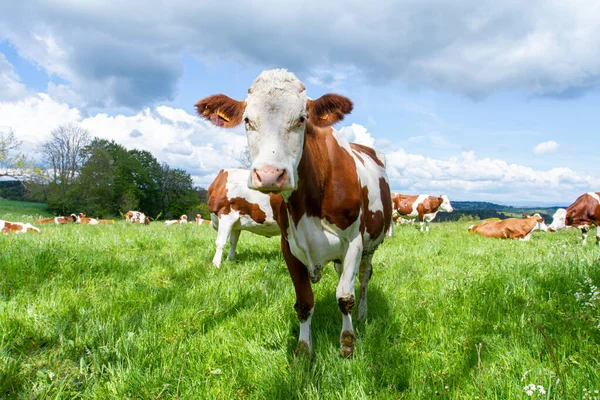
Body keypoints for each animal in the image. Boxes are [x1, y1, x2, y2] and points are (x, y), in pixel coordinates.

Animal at [197, 68, 394, 356]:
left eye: (302, 119)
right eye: (247, 120)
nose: (269, 174)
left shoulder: (354, 241)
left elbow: (345, 296)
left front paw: (347, 343)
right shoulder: (288, 245)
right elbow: (304, 302)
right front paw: (303, 351)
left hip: (371, 244)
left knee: (364, 278)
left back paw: (362, 314)